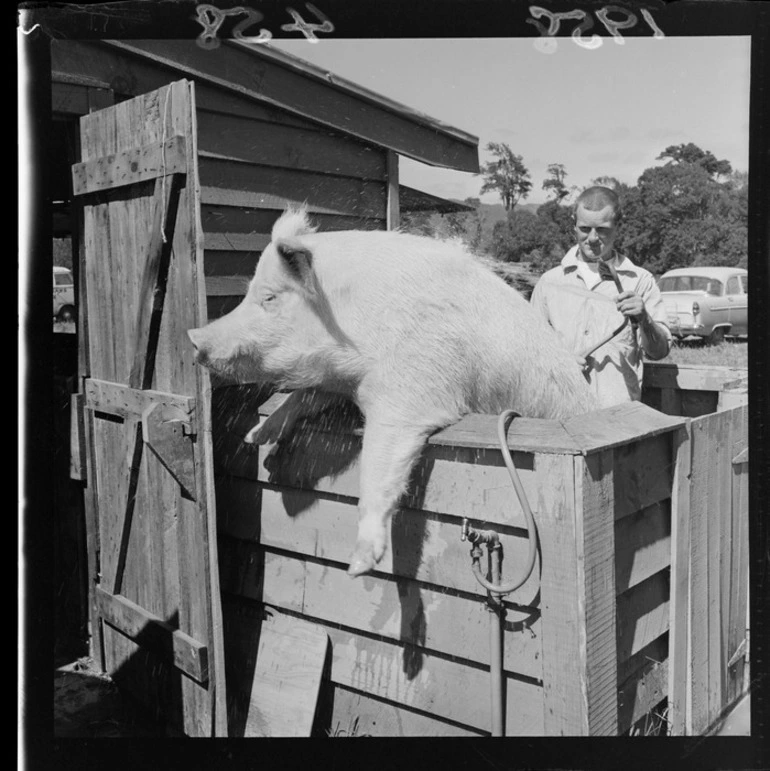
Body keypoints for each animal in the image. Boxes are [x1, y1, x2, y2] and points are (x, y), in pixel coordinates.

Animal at [186, 208, 592, 576]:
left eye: (269, 298)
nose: (193, 337)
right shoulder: (344, 380)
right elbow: (305, 395)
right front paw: (254, 437)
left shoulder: (414, 388)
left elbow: (378, 458)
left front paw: (358, 566)